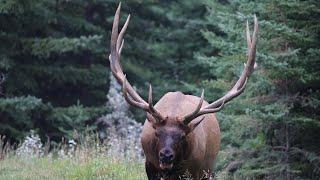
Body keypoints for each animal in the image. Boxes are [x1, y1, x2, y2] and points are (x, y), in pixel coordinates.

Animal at [109, 3, 258, 180]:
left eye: (182, 136)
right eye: (157, 133)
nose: (166, 156)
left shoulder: (193, 170)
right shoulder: (149, 166)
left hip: (208, 169)